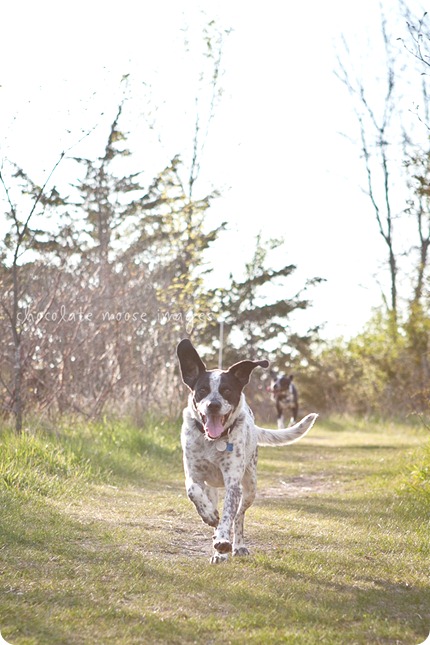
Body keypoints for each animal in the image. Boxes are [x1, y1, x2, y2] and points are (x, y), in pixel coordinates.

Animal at [176, 340, 318, 560]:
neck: (213, 441)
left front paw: (223, 541)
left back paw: (235, 545)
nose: (213, 405)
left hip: (250, 487)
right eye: (202, 390)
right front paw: (209, 515)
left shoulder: (233, 484)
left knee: (238, 516)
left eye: (226, 390)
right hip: (214, 488)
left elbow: (228, 516)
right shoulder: (193, 476)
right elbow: (193, 492)